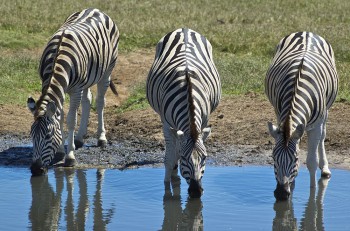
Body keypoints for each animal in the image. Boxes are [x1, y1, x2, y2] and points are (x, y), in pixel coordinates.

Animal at [26, 8, 119, 176]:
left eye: (48, 135)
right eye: (31, 135)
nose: (36, 169)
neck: (57, 62)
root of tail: (95, 9)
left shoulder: (75, 90)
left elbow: (70, 119)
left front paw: (69, 157)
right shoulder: (62, 90)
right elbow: (60, 117)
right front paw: (61, 151)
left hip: (107, 71)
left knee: (100, 102)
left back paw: (101, 138)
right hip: (89, 77)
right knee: (88, 99)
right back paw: (79, 138)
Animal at [146, 28, 220, 198]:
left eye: (205, 157)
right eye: (185, 158)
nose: (196, 191)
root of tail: (184, 29)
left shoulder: (203, 122)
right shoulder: (167, 125)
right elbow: (169, 158)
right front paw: (168, 189)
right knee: (173, 148)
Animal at [266, 32, 340, 200]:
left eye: (295, 159)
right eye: (273, 158)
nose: (281, 194)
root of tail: (306, 33)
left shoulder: (316, 126)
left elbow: (312, 161)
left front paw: (313, 194)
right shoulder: (281, 117)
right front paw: (292, 185)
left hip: (326, 110)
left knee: (323, 136)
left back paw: (325, 168)